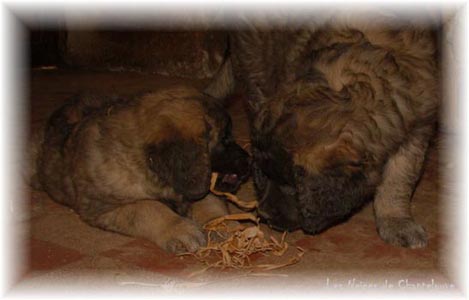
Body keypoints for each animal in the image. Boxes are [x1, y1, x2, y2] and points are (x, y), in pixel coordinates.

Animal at [31, 86, 250, 253]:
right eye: (224, 138)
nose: (248, 160)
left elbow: (210, 203)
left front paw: (227, 225)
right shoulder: (103, 207)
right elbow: (148, 207)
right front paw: (180, 230)